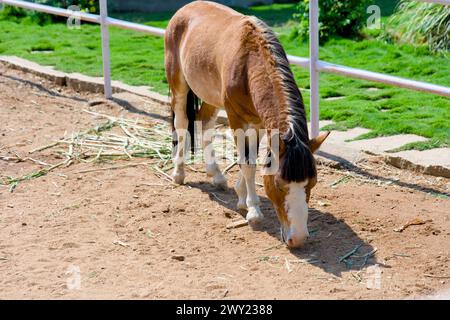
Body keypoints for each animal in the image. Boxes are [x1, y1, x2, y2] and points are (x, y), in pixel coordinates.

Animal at [164, 0, 326, 248]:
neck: (250, 64)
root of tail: (184, 10)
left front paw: (241, 195)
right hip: (178, 83)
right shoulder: (236, 117)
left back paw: (216, 176)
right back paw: (178, 173)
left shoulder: (258, 121)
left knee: (205, 123)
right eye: (279, 185)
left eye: (312, 183)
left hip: (211, 96)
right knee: (182, 124)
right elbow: (247, 162)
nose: (297, 239)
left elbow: (249, 159)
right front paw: (253, 212)